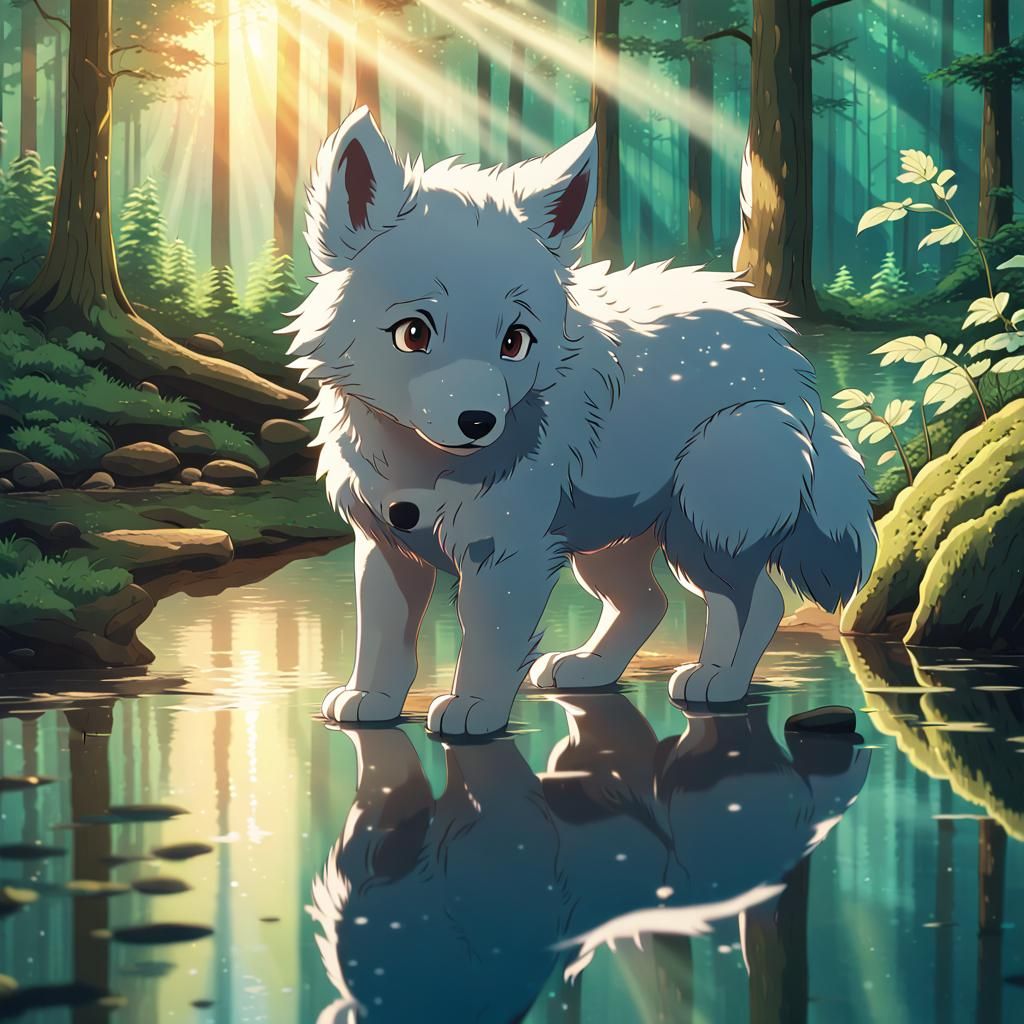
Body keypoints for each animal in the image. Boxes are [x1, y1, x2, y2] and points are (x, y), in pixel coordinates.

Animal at [283, 106, 876, 736]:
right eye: (413, 333)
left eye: (514, 342)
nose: (479, 421)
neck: (424, 465)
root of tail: (792, 361)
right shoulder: (385, 546)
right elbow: (380, 638)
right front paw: (369, 699)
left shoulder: (506, 554)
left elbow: (489, 641)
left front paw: (474, 708)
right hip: (605, 543)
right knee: (649, 603)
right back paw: (589, 669)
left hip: (701, 528)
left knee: (754, 602)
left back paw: (717, 682)